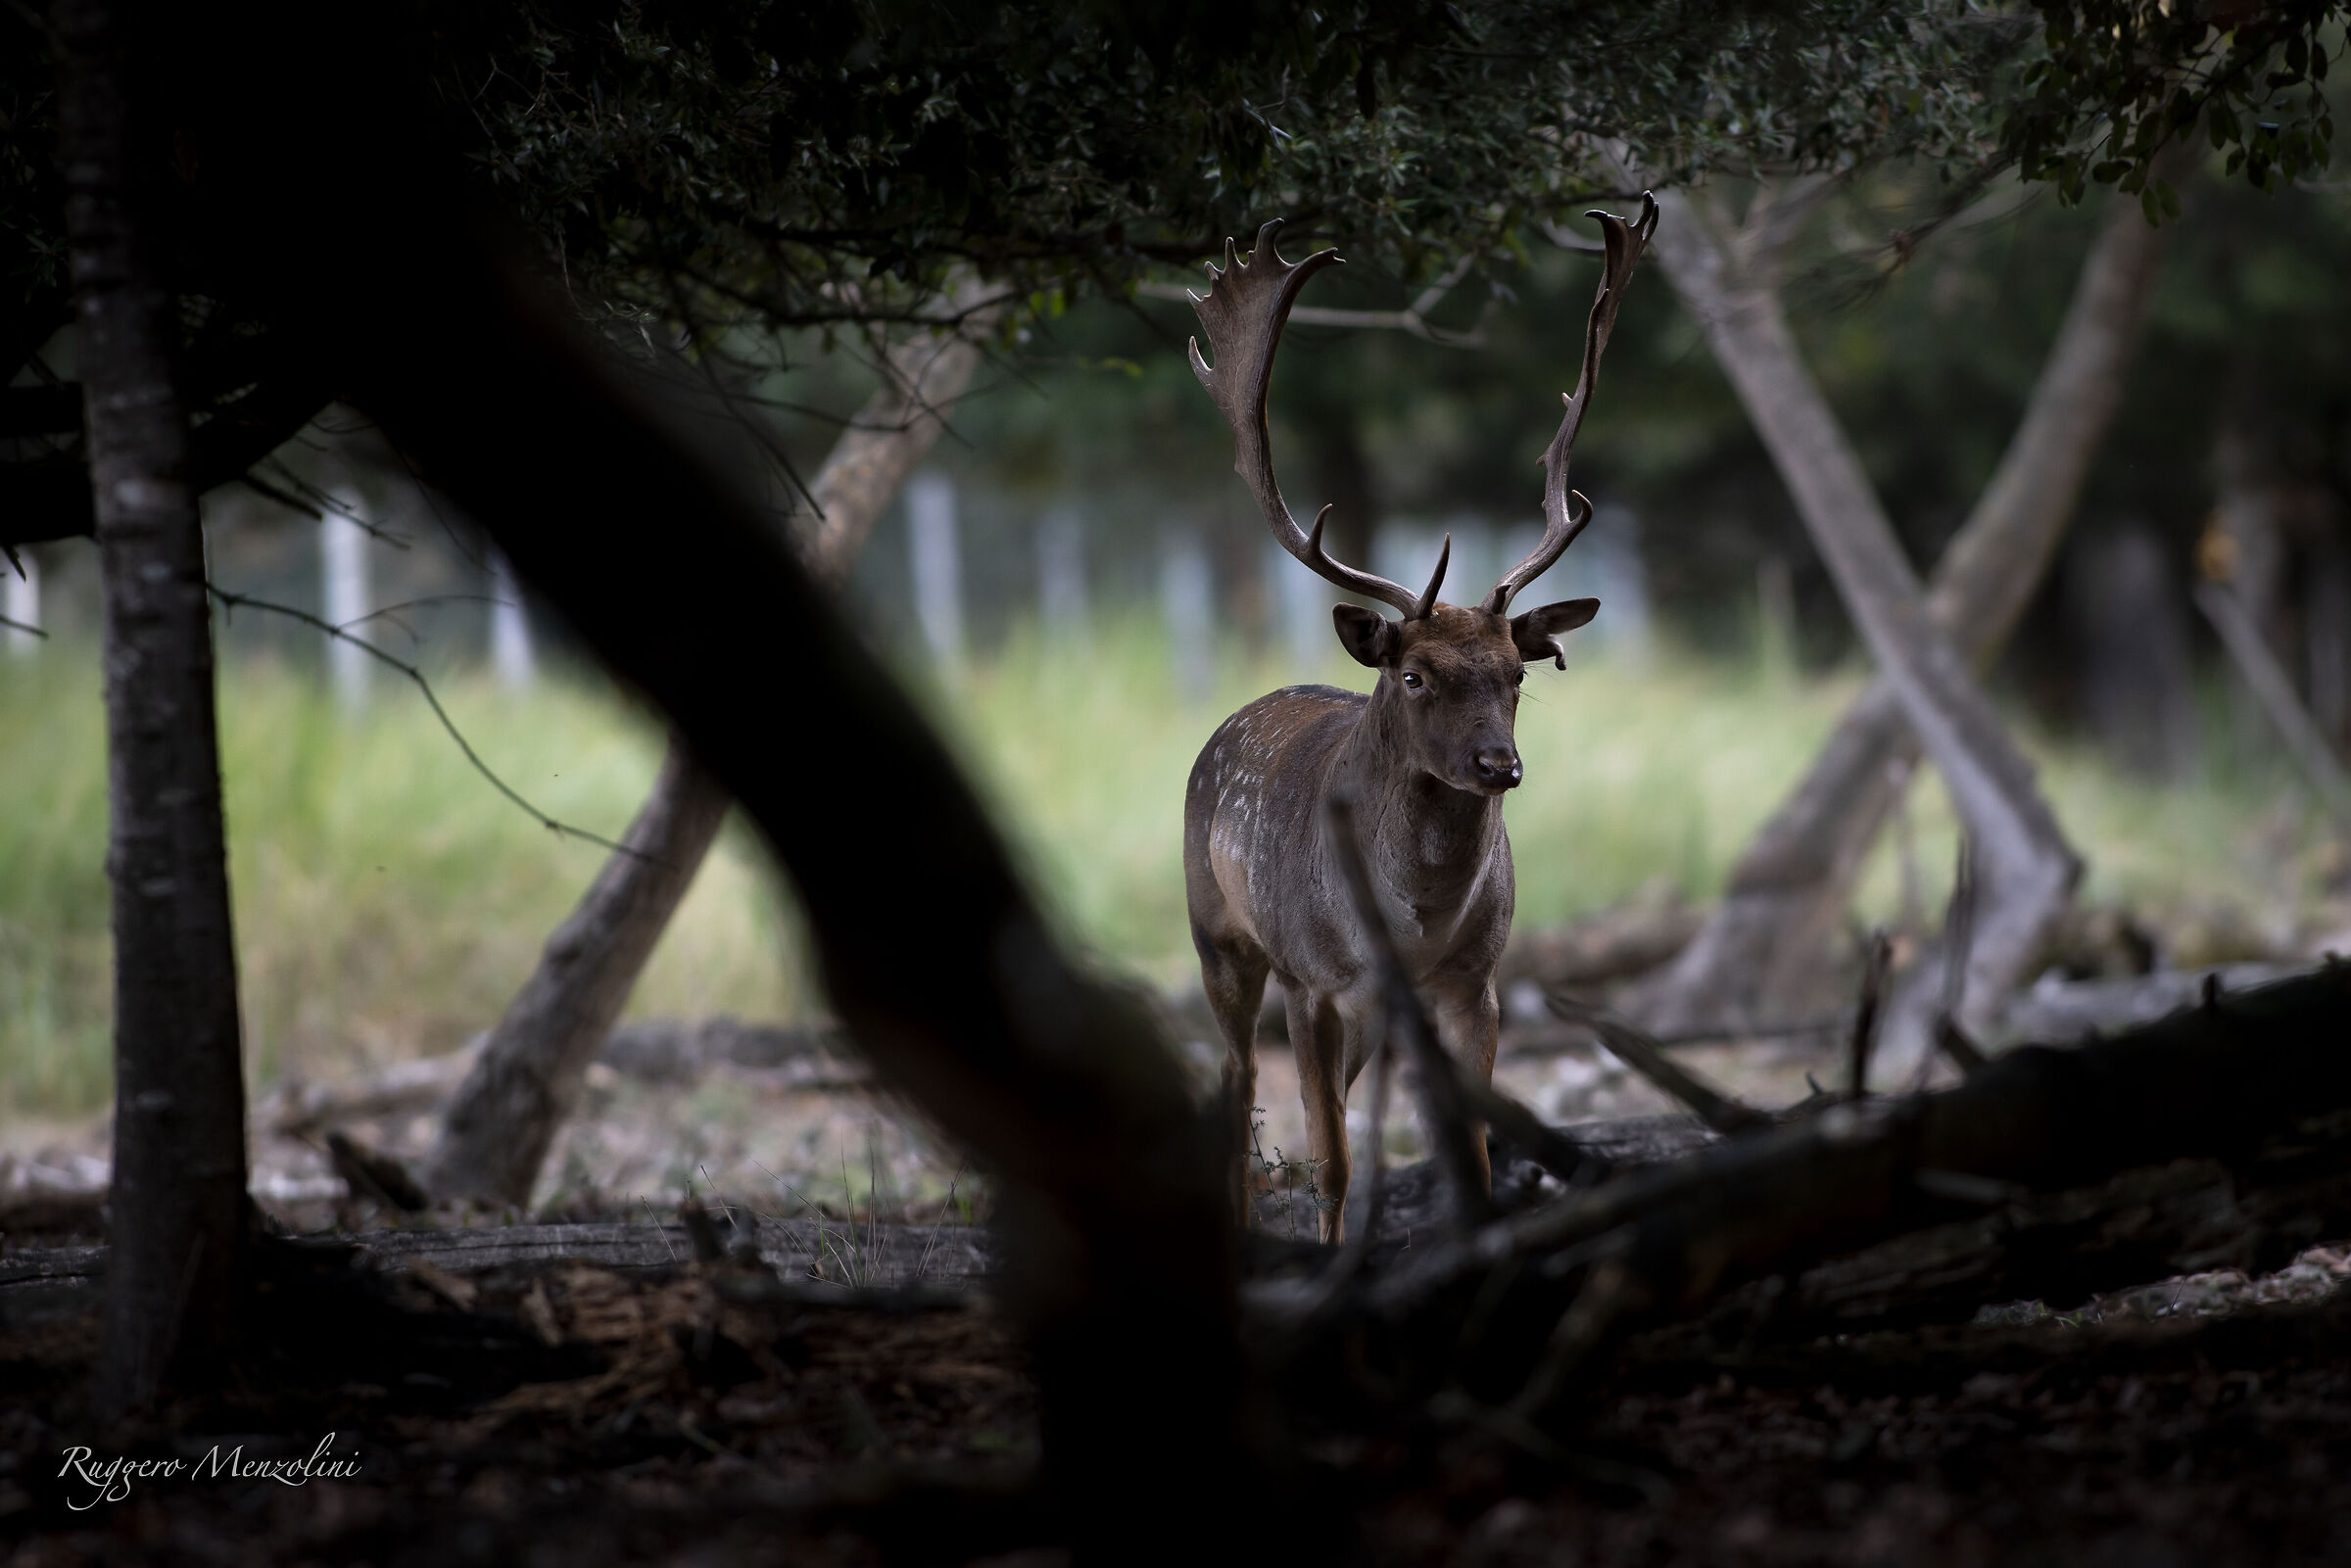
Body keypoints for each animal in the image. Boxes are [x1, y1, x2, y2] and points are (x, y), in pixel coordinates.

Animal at [1182, 196, 1656, 1243]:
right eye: (1414, 674)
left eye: (1517, 672)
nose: (1499, 765)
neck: (1410, 923)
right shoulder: (1312, 979)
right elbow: (1331, 1161)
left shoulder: (1474, 979)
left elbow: (1466, 1155)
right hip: (1217, 934)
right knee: (1237, 1087)